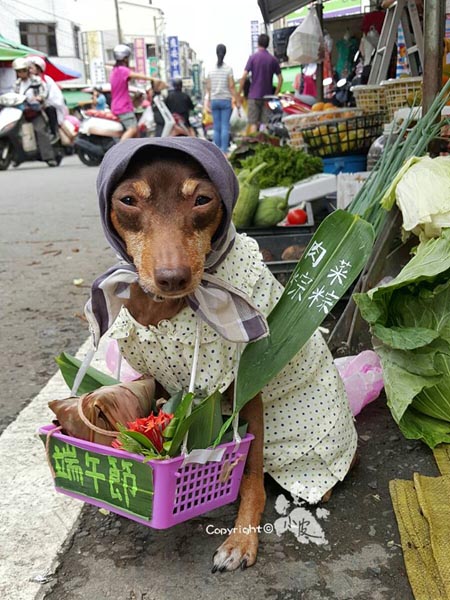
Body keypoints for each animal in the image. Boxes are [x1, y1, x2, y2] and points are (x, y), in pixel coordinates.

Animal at [86, 136, 356, 572]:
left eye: (202, 200)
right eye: (127, 200)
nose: (173, 277)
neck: (168, 309)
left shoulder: (247, 393)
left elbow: (250, 478)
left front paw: (241, 541)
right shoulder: (161, 380)